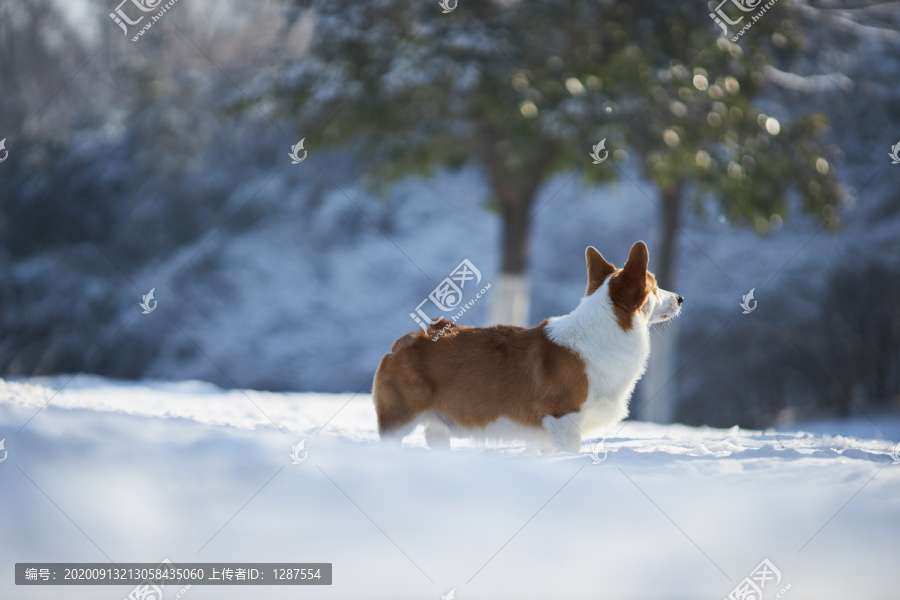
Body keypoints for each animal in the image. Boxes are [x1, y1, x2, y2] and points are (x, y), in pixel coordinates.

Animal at [372, 241, 684, 452]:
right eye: (654, 286)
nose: (681, 298)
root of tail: (402, 343)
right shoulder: (565, 420)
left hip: (438, 431)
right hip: (399, 421)